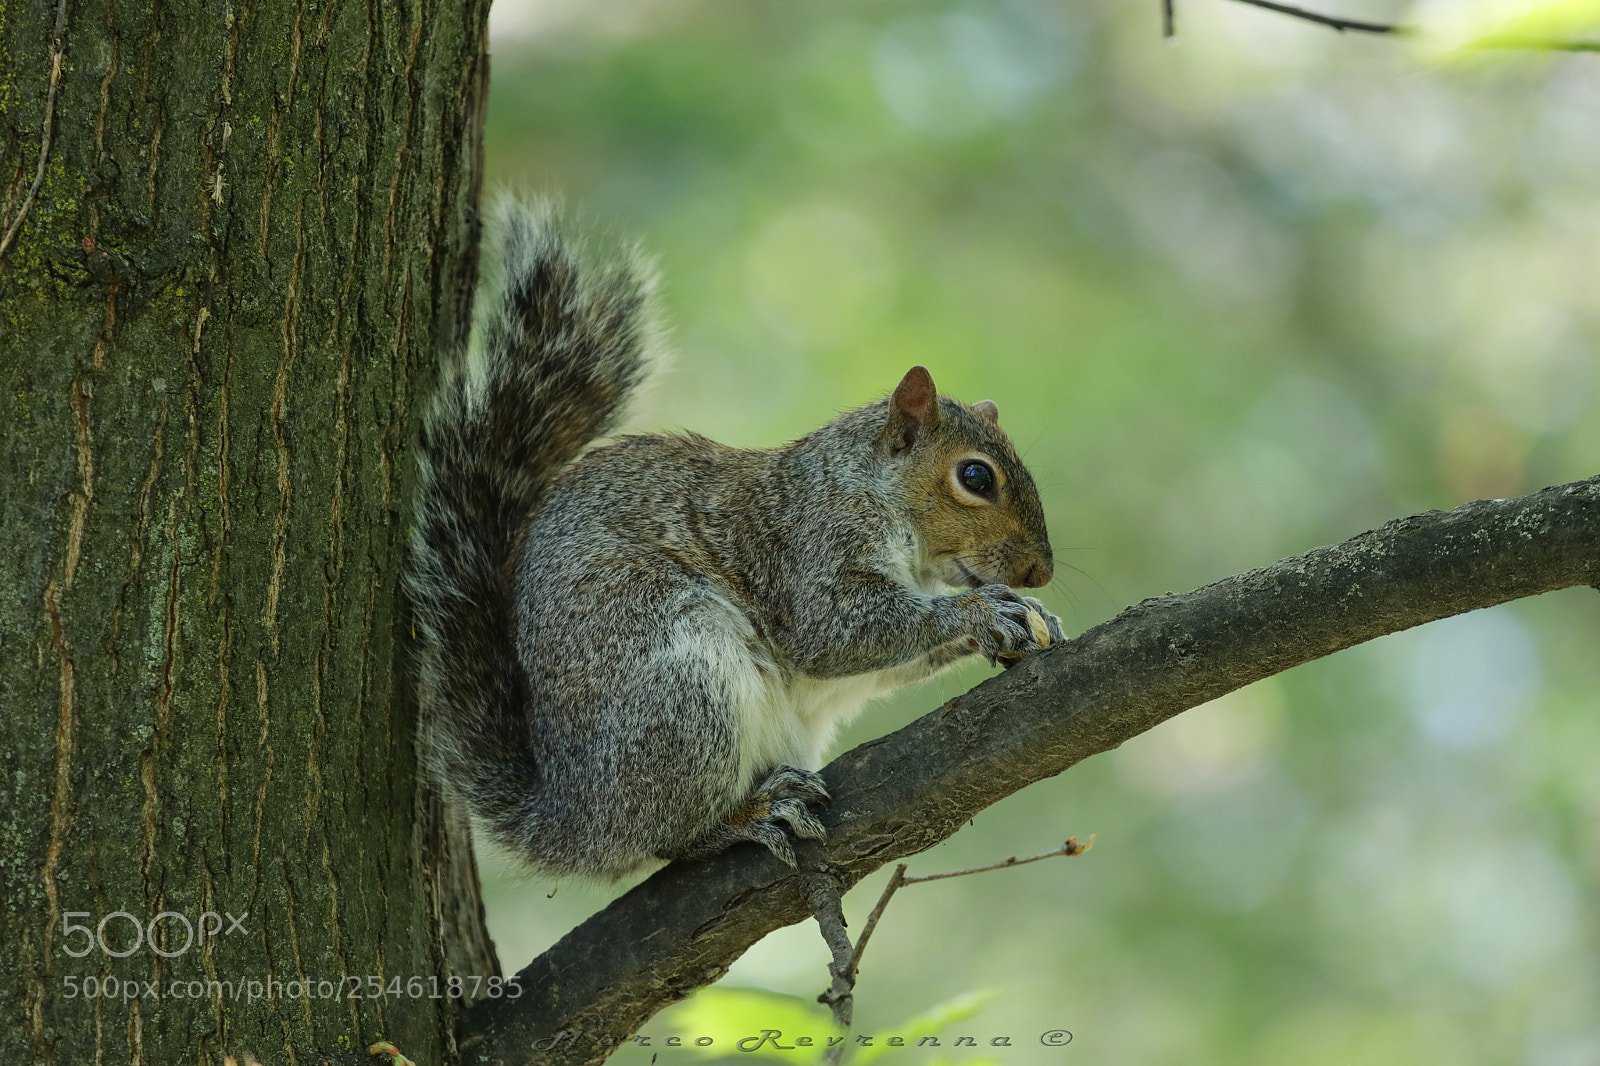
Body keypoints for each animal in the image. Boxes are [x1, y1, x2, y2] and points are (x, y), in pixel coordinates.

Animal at [407, 201, 1064, 881]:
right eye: (976, 477)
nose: (1039, 572)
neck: (874, 494)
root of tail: (575, 822)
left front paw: (1025, 616)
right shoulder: (811, 546)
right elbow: (834, 633)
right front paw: (981, 610)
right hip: (681, 688)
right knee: (670, 837)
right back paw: (746, 816)